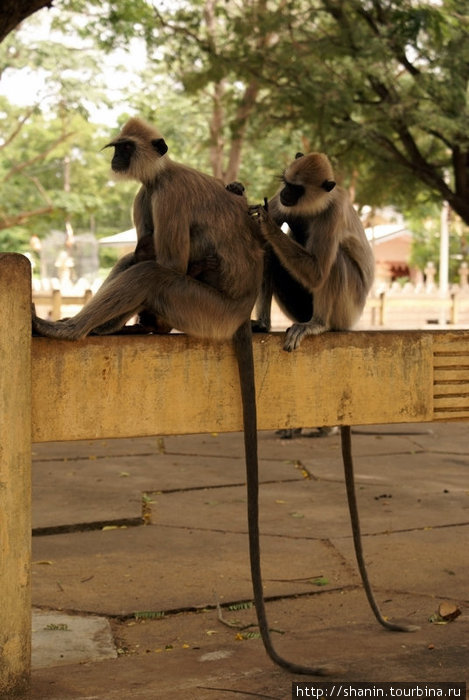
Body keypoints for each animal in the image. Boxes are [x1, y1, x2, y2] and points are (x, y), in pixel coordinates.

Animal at [32, 117, 332, 676]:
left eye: (125, 148)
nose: (115, 160)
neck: (161, 174)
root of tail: (236, 316)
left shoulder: (164, 194)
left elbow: (166, 258)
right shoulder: (145, 196)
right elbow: (141, 248)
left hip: (202, 311)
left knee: (154, 270)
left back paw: (75, 330)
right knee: (140, 262)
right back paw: (113, 328)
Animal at [249, 152, 416, 636]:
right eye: (285, 183)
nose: (283, 195)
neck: (315, 204)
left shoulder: (332, 211)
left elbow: (317, 265)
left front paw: (262, 222)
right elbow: (277, 238)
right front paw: (263, 218)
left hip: (346, 305)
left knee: (331, 264)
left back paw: (317, 325)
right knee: (278, 259)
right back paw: (264, 323)